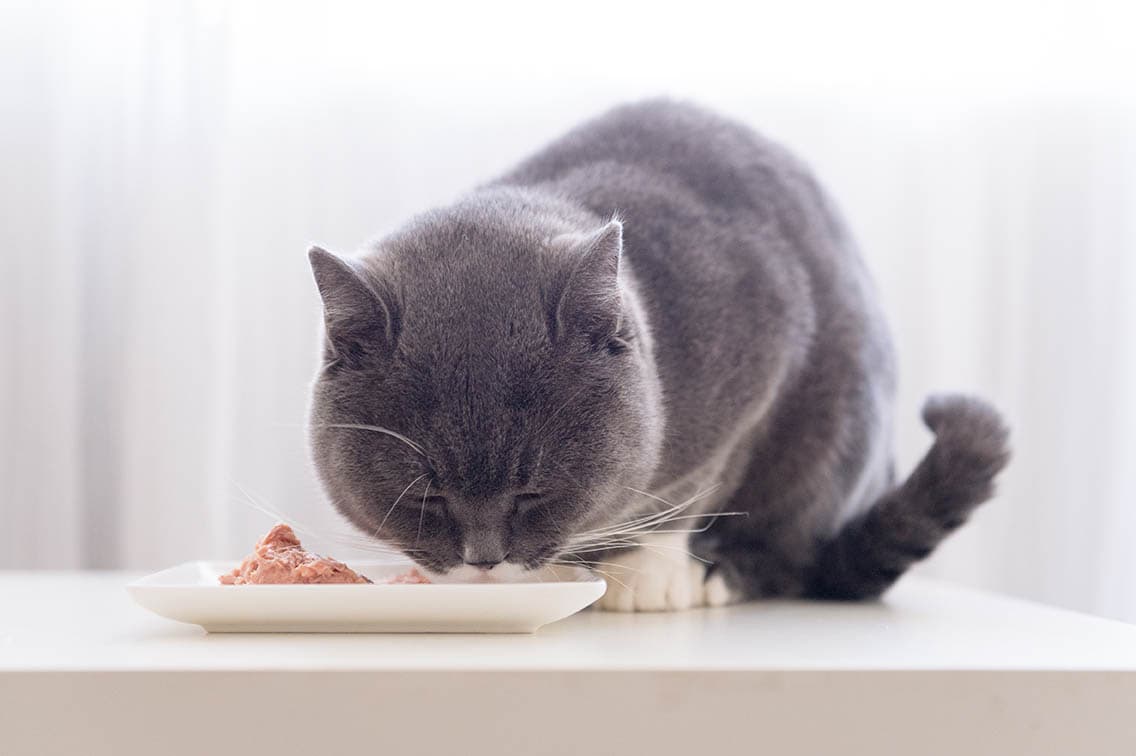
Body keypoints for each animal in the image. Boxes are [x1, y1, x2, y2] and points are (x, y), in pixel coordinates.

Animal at [306, 100, 1008, 609]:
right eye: (426, 497)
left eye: (532, 491)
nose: (483, 561)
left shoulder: (758, 352)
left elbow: (699, 484)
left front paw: (645, 572)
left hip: (835, 430)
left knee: (788, 550)